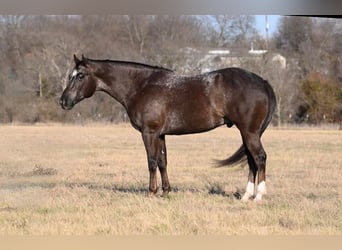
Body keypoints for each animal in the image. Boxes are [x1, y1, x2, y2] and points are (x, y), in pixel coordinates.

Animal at [60, 54, 276, 201]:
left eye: (80, 75)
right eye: (71, 75)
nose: (63, 101)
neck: (141, 86)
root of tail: (262, 82)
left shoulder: (149, 133)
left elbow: (151, 161)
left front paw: (151, 192)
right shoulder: (161, 134)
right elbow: (163, 161)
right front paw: (166, 191)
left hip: (249, 133)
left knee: (259, 158)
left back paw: (258, 196)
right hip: (247, 134)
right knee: (251, 161)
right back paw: (246, 196)